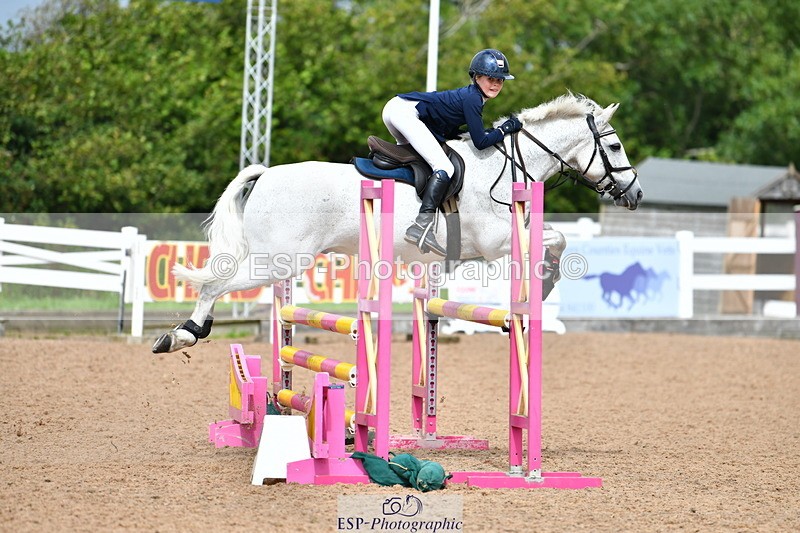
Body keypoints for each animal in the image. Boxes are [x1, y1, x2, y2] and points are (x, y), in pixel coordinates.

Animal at [152, 93, 643, 353]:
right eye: (615, 147)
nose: (635, 194)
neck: (504, 163)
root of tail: (266, 174)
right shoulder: (494, 241)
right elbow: (556, 240)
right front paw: (542, 287)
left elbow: (554, 241)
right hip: (281, 263)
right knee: (214, 286)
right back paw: (182, 335)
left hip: (277, 262)